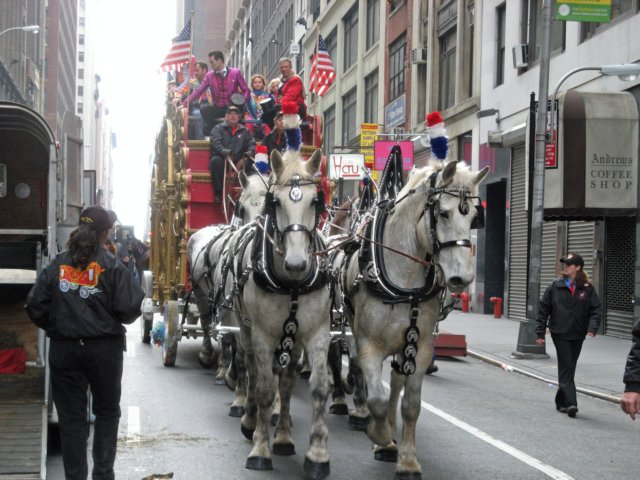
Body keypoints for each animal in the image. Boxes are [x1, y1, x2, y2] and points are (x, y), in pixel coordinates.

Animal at [235, 148, 336, 478]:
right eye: (276, 202)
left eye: (315, 201)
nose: (296, 264)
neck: (291, 284)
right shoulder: (263, 335)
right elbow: (266, 389)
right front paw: (260, 448)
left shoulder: (318, 332)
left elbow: (318, 387)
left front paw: (317, 454)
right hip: (246, 329)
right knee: (253, 371)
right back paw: (251, 420)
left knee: (289, 379)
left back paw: (283, 435)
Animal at [340, 159, 484, 478]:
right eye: (443, 213)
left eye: (474, 218)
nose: (461, 278)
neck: (404, 279)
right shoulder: (368, 343)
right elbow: (377, 398)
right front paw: (380, 436)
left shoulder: (420, 348)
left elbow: (411, 404)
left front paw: (406, 458)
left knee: (396, 382)